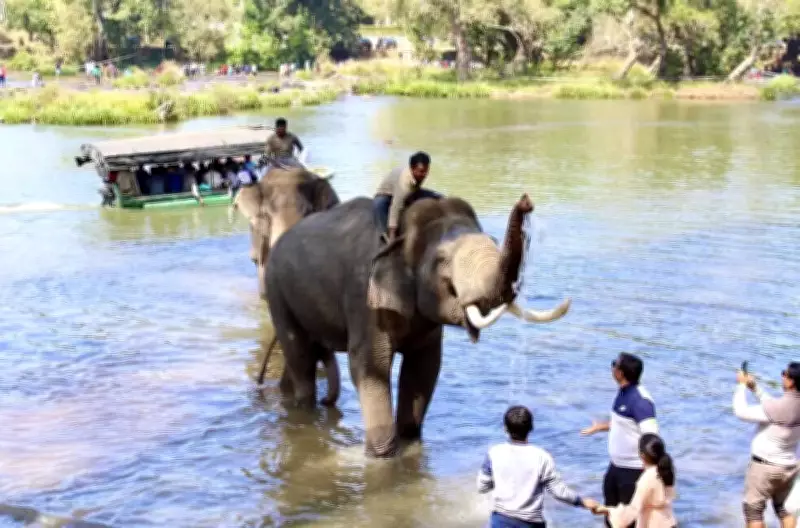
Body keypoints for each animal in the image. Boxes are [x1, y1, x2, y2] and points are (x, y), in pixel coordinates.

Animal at [264, 192, 571, 457]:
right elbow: (370, 365)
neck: (400, 233)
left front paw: (410, 441)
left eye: (493, 240)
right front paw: (382, 456)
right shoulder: (364, 297)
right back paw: (304, 413)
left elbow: (424, 367)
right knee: (300, 354)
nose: (527, 201)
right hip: (276, 289)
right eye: (442, 259)